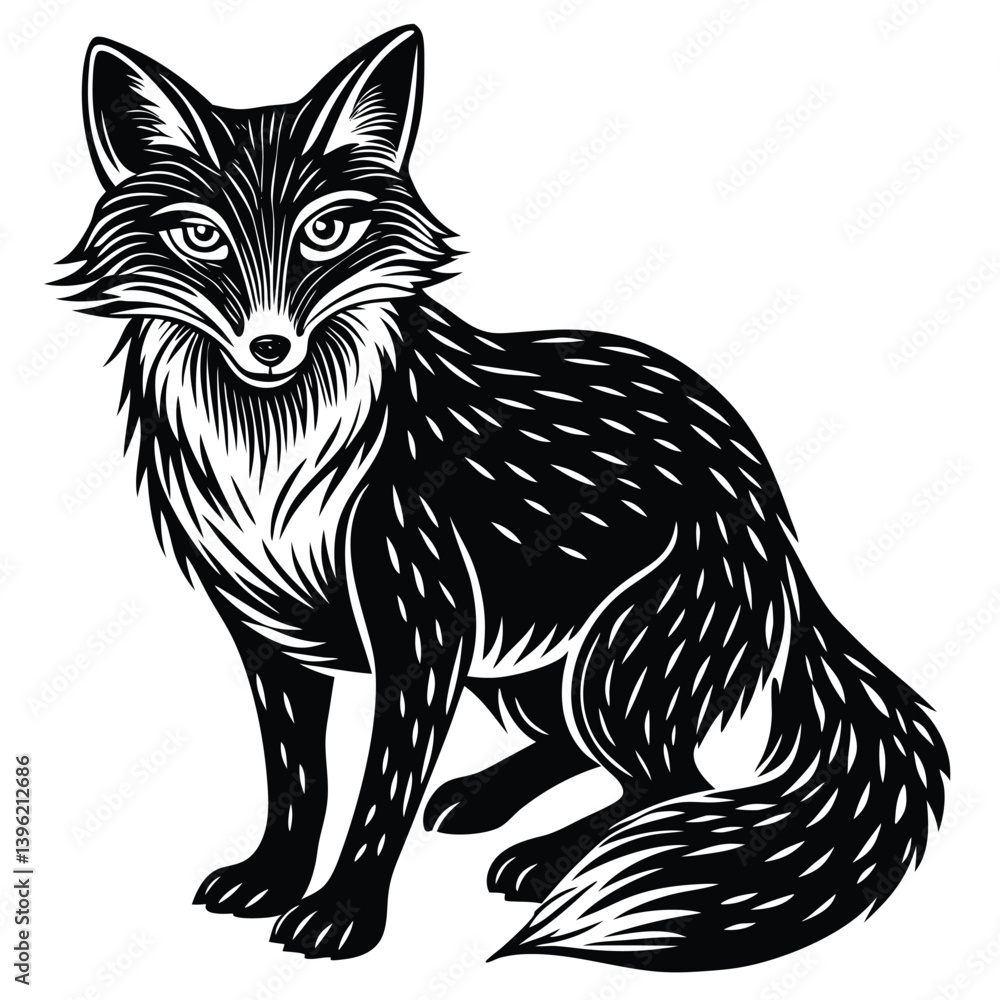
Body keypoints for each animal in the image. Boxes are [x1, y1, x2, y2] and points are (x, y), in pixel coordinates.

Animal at [59, 26, 949, 970]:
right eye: (201, 237)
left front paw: (343, 914)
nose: (270, 346)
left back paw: (551, 859)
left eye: (327, 232)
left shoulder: (422, 634)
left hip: (611, 669)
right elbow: (298, 783)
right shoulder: (270, 638)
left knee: (671, 785)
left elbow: (378, 796)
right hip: (522, 663)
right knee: (585, 753)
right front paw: (272, 878)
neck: (272, 462)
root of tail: (779, 525)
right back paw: (488, 799)